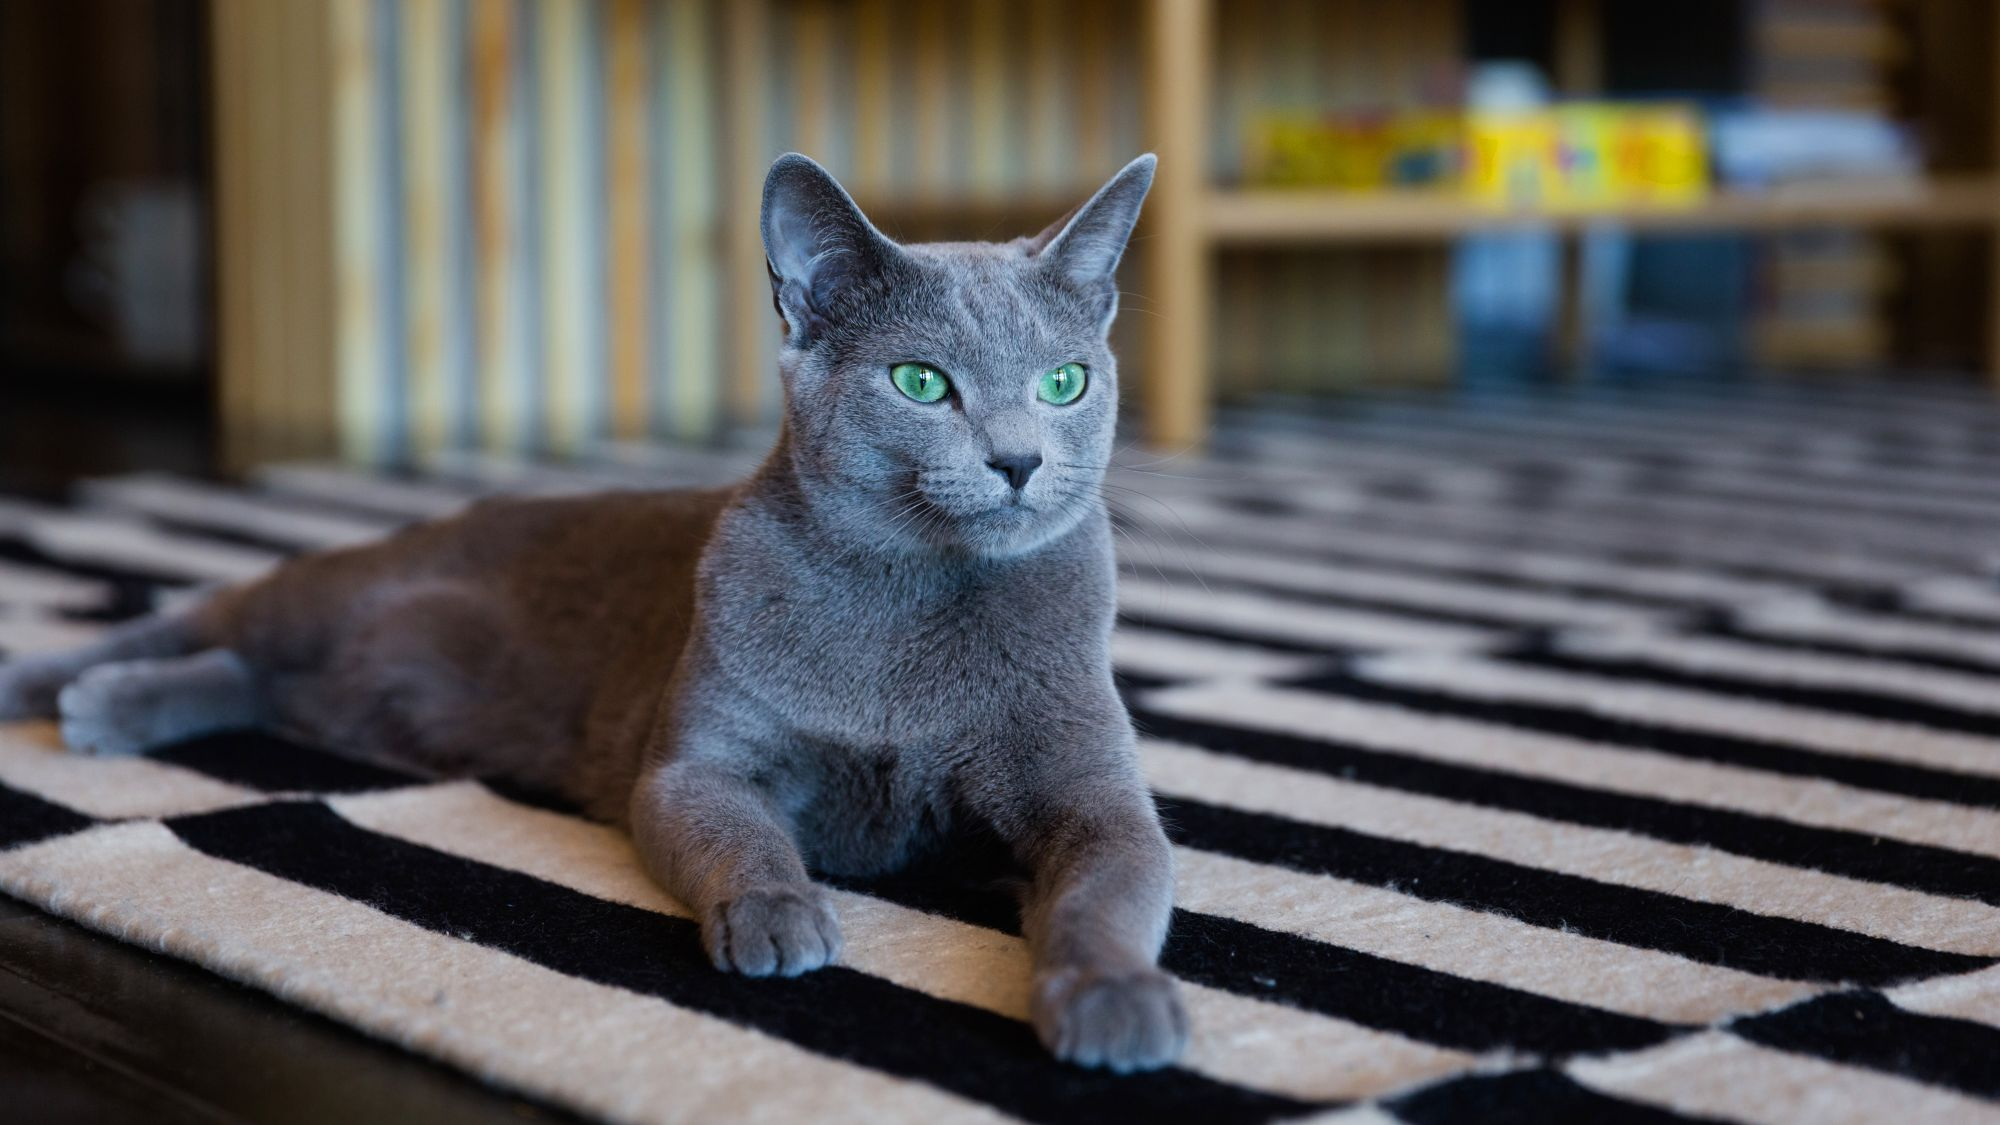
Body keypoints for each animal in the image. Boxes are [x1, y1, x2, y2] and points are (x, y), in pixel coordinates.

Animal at [3, 151, 1184, 1064]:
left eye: (1066, 383)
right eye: (922, 383)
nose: (1020, 460)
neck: (916, 599)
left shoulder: (1092, 793)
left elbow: (1110, 887)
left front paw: (1117, 1001)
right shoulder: (694, 764)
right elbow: (739, 832)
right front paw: (779, 914)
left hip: (361, 686)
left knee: (260, 680)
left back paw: (116, 705)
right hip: (333, 591)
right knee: (213, 612)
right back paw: (63, 686)